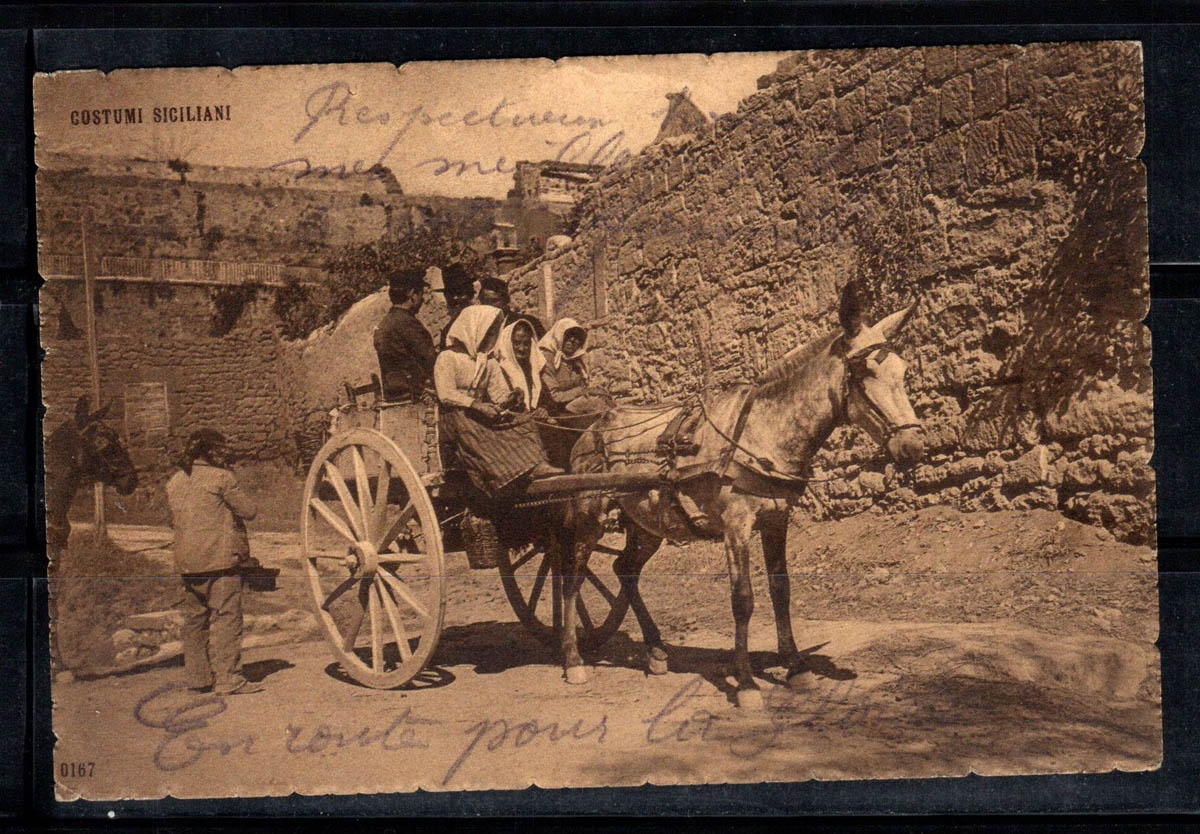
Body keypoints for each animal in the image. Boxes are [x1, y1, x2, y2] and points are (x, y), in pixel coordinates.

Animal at [560, 282, 925, 707]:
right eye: (864, 371)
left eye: (903, 371)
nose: (913, 446)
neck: (762, 433)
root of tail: (589, 430)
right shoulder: (736, 526)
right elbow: (743, 599)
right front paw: (747, 683)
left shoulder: (776, 521)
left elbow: (781, 591)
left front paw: (796, 668)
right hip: (590, 516)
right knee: (572, 576)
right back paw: (573, 660)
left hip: (647, 524)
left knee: (625, 570)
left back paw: (654, 651)